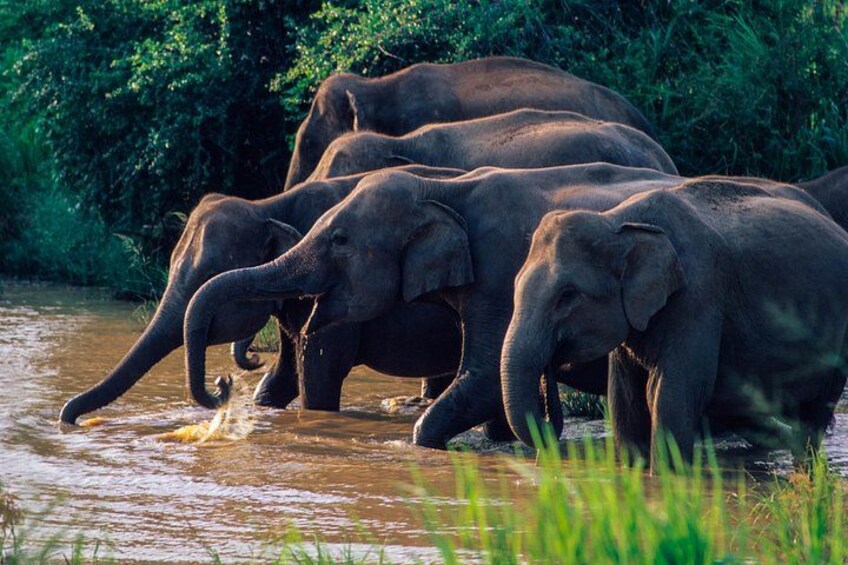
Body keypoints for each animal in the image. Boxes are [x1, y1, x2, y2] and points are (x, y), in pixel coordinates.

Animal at [59, 165, 467, 425]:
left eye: (208, 274)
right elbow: (283, 373)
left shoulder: (338, 285)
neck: (267, 205)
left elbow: (320, 372)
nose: (223, 383)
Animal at [501, 178, 846, 470]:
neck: (618, 221)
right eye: (515, 286)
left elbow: (669, 396)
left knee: (814, 414)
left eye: (567, 295)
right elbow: (626, 402)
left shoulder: (698, 296)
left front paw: (668, 480)